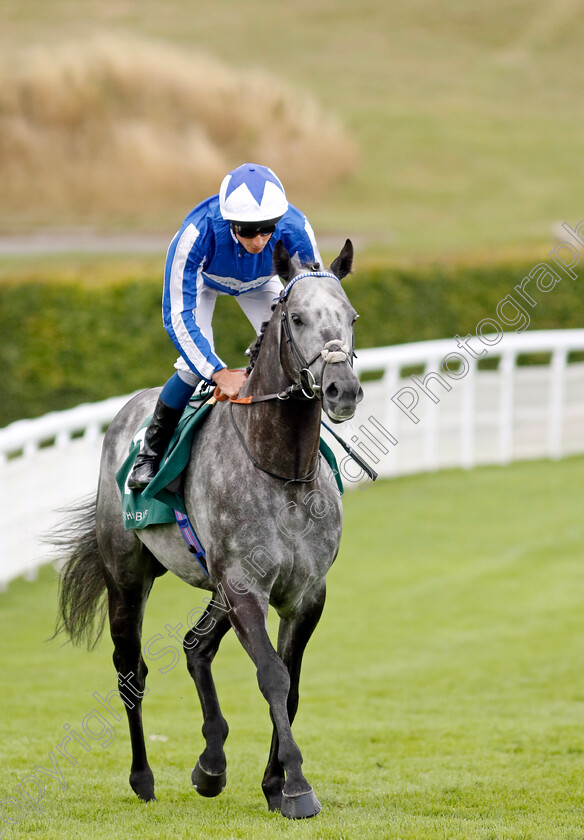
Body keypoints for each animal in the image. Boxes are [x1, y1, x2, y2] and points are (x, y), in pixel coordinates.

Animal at [56, 238, 364, 820]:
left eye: (351, 316)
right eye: (296, 317)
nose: (343, 389)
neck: (281, 470)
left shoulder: (306, 594)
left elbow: (291, 684)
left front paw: (273, 782)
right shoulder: (244, 587)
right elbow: (272, 675)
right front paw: (296, 786)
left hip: (214, 586)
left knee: (195, 647)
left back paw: (211, 765)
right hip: (127, 577)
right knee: (130, 672)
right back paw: (143, 778)